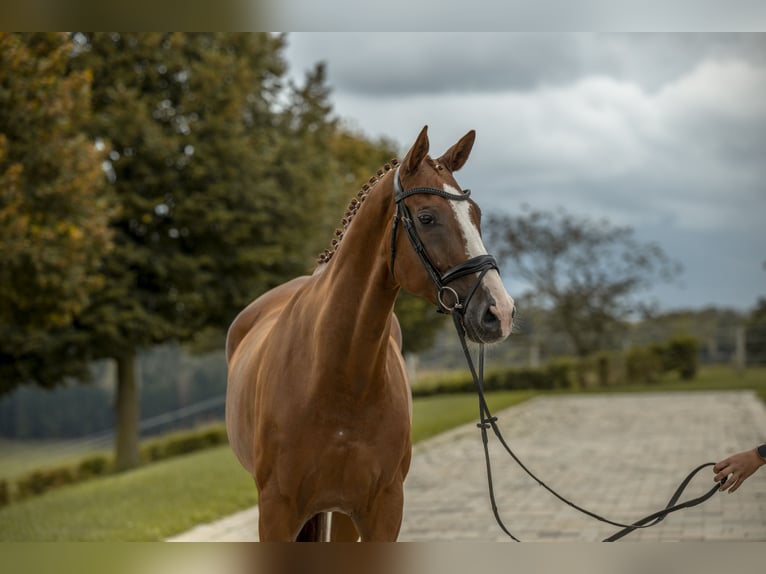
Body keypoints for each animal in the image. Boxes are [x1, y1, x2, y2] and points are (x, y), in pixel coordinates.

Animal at [226, 127, 516, 544]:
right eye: (427, 217)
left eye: (475, 215)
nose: (500, 312)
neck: (336, 374)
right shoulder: (276, 513)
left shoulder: (382, 509)